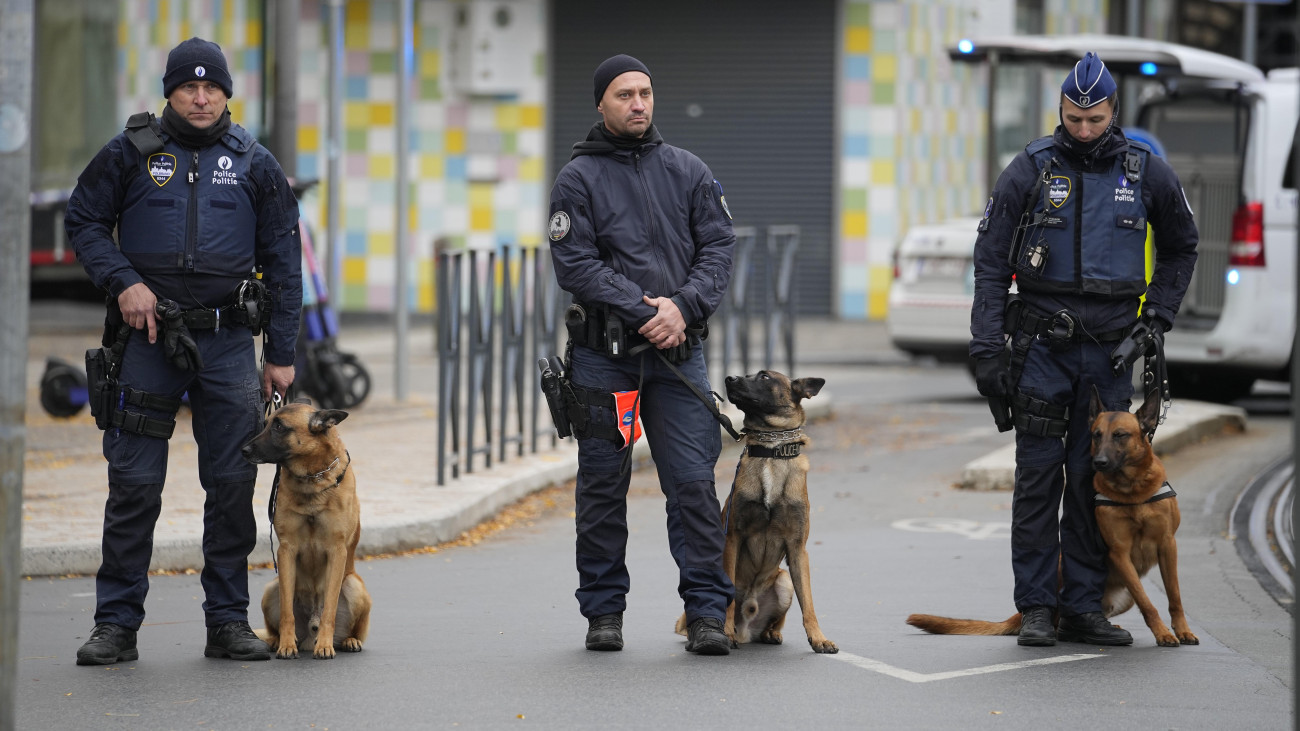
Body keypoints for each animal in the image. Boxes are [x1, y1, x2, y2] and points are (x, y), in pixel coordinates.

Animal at [240, 400, 371, 658]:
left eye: (279, 427)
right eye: (265, 423)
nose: (244, 450)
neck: (312, 479)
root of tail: (310, 632)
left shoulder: (337, 552)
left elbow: (329, 608)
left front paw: (325, 645)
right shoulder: (286, 551)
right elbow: (286, 613)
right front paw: (286, 645)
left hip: (355, 585)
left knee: (352, 629)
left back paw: (347, 641)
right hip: (272, 587)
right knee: (277, 621)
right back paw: (276, 641)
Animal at [676, 369, 837, 647]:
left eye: (764, 377)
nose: (729, 379)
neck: (771, 450)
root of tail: (747, 628)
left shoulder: (798, 548)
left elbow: (809, 603)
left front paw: (818, 637)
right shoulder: (733, 537)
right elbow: (728, 595)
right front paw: (725, 632)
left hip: (784, 581)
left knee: (774, 621)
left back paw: (771, 633)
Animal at [904, 385, 1196, 645]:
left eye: (1120, 435)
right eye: (1096, 435)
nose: (1098, 462)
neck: (1132, 491)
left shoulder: (1168, 545)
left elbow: (1175, 596)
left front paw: (1182, 630)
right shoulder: (1120, 553)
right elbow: (1148, 602)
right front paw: (1163, 633)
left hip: (1122, 598)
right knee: (1061, 621)